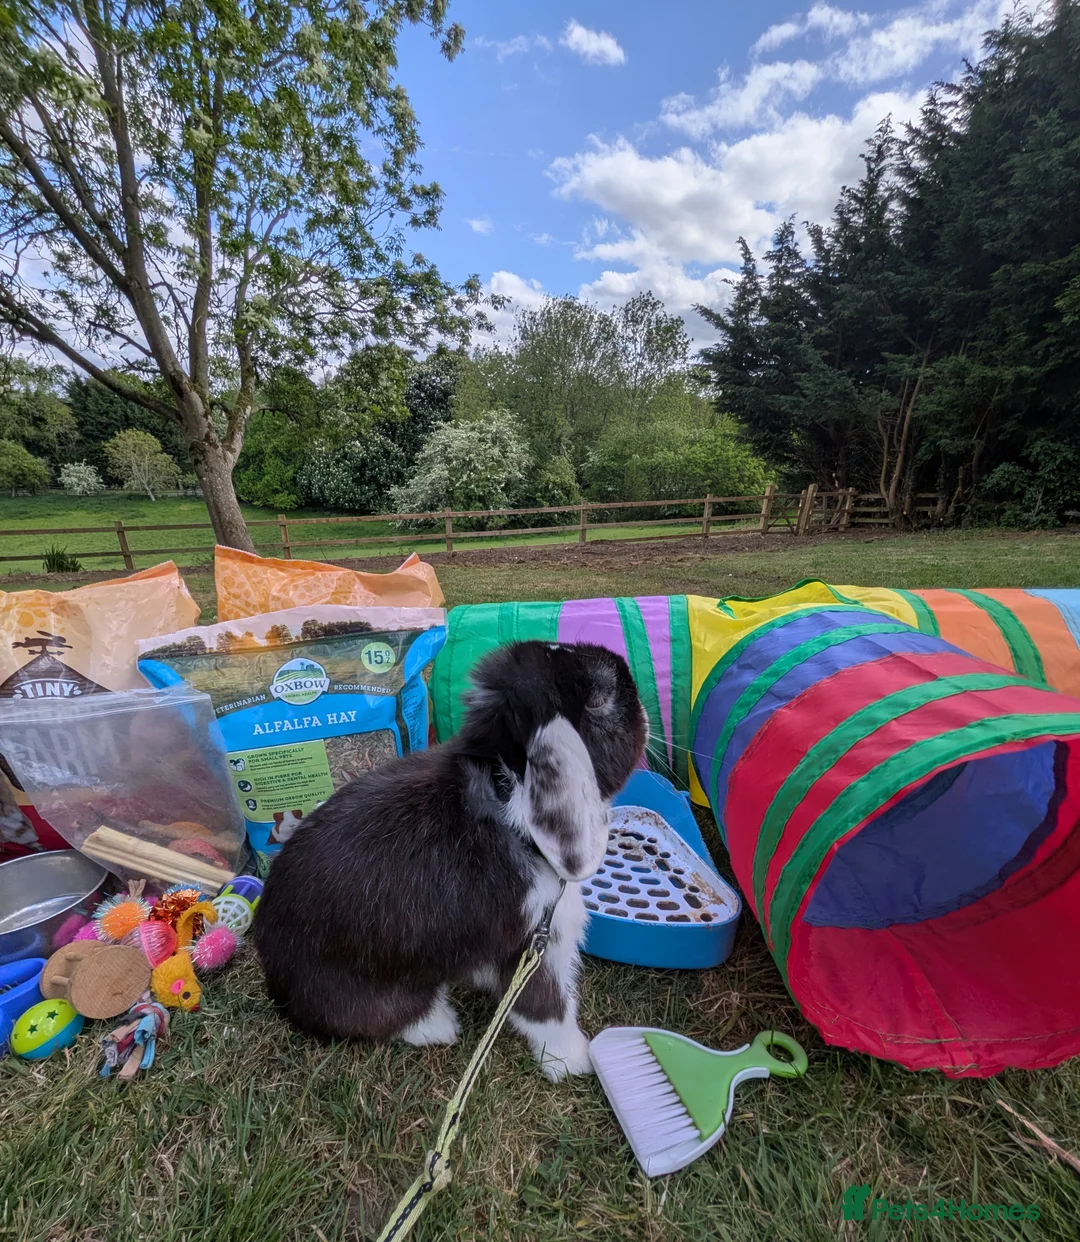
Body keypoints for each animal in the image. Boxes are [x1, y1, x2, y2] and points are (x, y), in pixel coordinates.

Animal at [253, 639, 647, 1081]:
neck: (510, 799)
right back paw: (438, 1025)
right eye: (599, 700)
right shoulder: (531, 948)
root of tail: (280, 986)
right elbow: (548, 1011)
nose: (641, 705)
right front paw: (575, 1060)